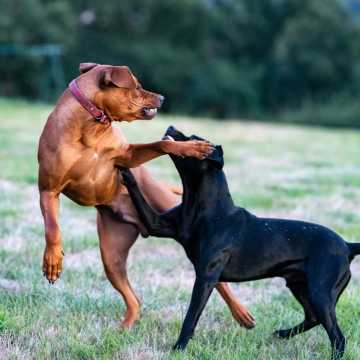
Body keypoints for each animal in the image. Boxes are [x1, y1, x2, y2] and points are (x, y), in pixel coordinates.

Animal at [38, 62, 255, 330]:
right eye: (138, 86)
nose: (162, 97)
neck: (91, 126)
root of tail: (140, 225)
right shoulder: (48, 191)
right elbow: (52, 228)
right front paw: (52, 260)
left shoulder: (128, 155)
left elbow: (162, 144)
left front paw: (190, 148)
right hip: (111, 256)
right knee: (134, 299)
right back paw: (125, 328)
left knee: (220, 282)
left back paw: (241, 314)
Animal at [121, 126, 360, 358]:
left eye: (194, 138)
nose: (171, 126)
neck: (205, 207)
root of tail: (347, 246)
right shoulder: (157, 225)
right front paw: (124, 169)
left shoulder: (206, 277)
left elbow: (191, 317)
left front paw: (178, 348)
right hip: (299, 285)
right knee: (313, 318)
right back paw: (282, 334)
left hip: (320, 292)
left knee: (337, 336)